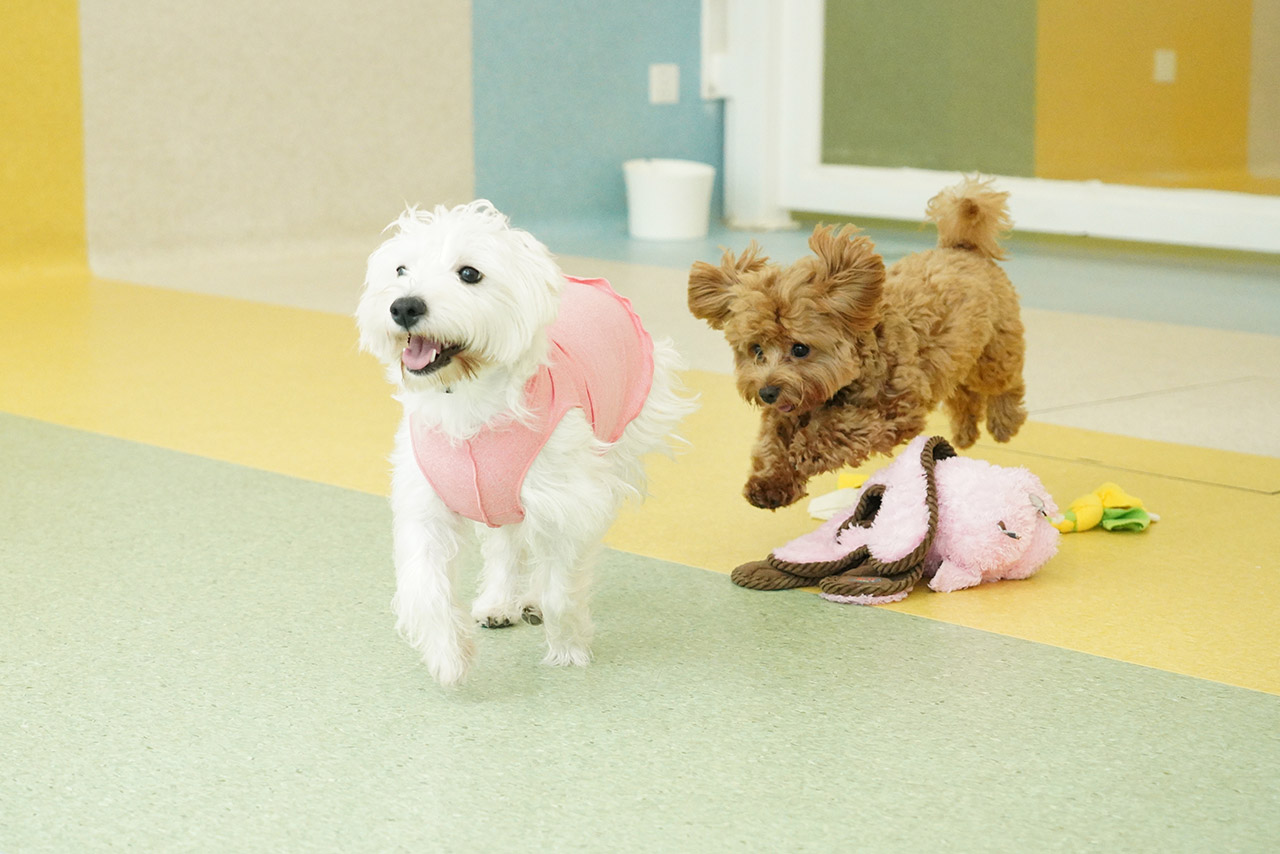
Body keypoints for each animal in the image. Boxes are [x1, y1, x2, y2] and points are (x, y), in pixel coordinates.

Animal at [355, 201, 696, 686]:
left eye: (469, 274)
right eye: (401, 269)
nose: (403, 306)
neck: (467, 403)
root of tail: (587, 283)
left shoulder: (569, 503)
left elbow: (560, 587)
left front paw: (568, 649)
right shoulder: (427, 505)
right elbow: (426, 586)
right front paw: (449, 657)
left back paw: (530, 603)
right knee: (505, 545)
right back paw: (499, 602)